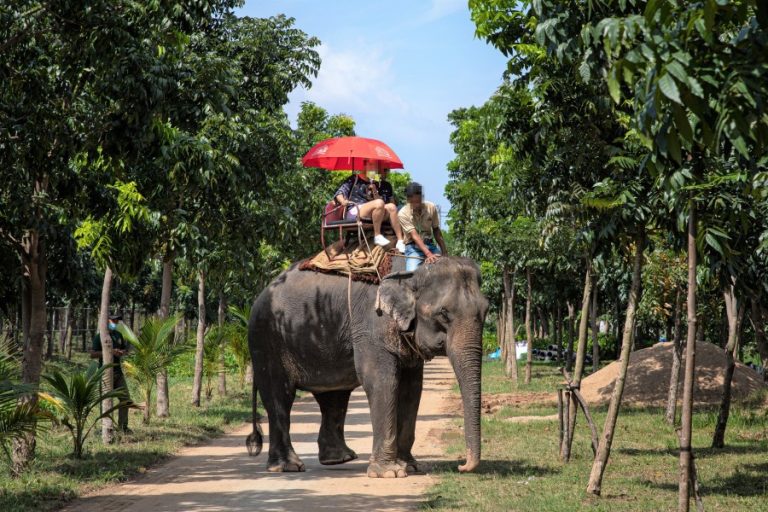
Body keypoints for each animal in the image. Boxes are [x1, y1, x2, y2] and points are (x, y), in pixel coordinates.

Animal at [243, 255, 488, 476]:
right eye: (443, 314)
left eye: (485, 311)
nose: (461, 466)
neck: (412, 272)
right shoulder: (371, 324)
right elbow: (381, 381)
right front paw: (390, 473)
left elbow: (412, 389)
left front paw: (410, 467)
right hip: (266, 339)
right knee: (279, 395)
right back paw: (287, 467)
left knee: (333, 397)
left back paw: (339, 459)